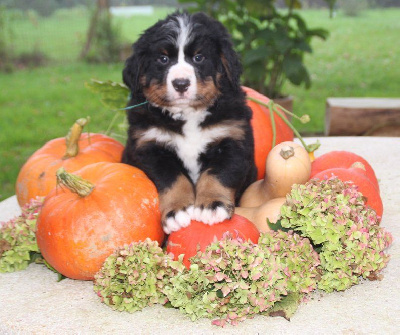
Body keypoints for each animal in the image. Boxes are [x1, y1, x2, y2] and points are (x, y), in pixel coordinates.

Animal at [122, 12, 258, 234]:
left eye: (198, 57)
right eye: (163, 59)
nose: (181, 84)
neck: (187, 115)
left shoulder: (232, 139)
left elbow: (217, 173)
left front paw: (212, 205)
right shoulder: (150, 147)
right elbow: (173, 178)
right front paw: (177, 211)